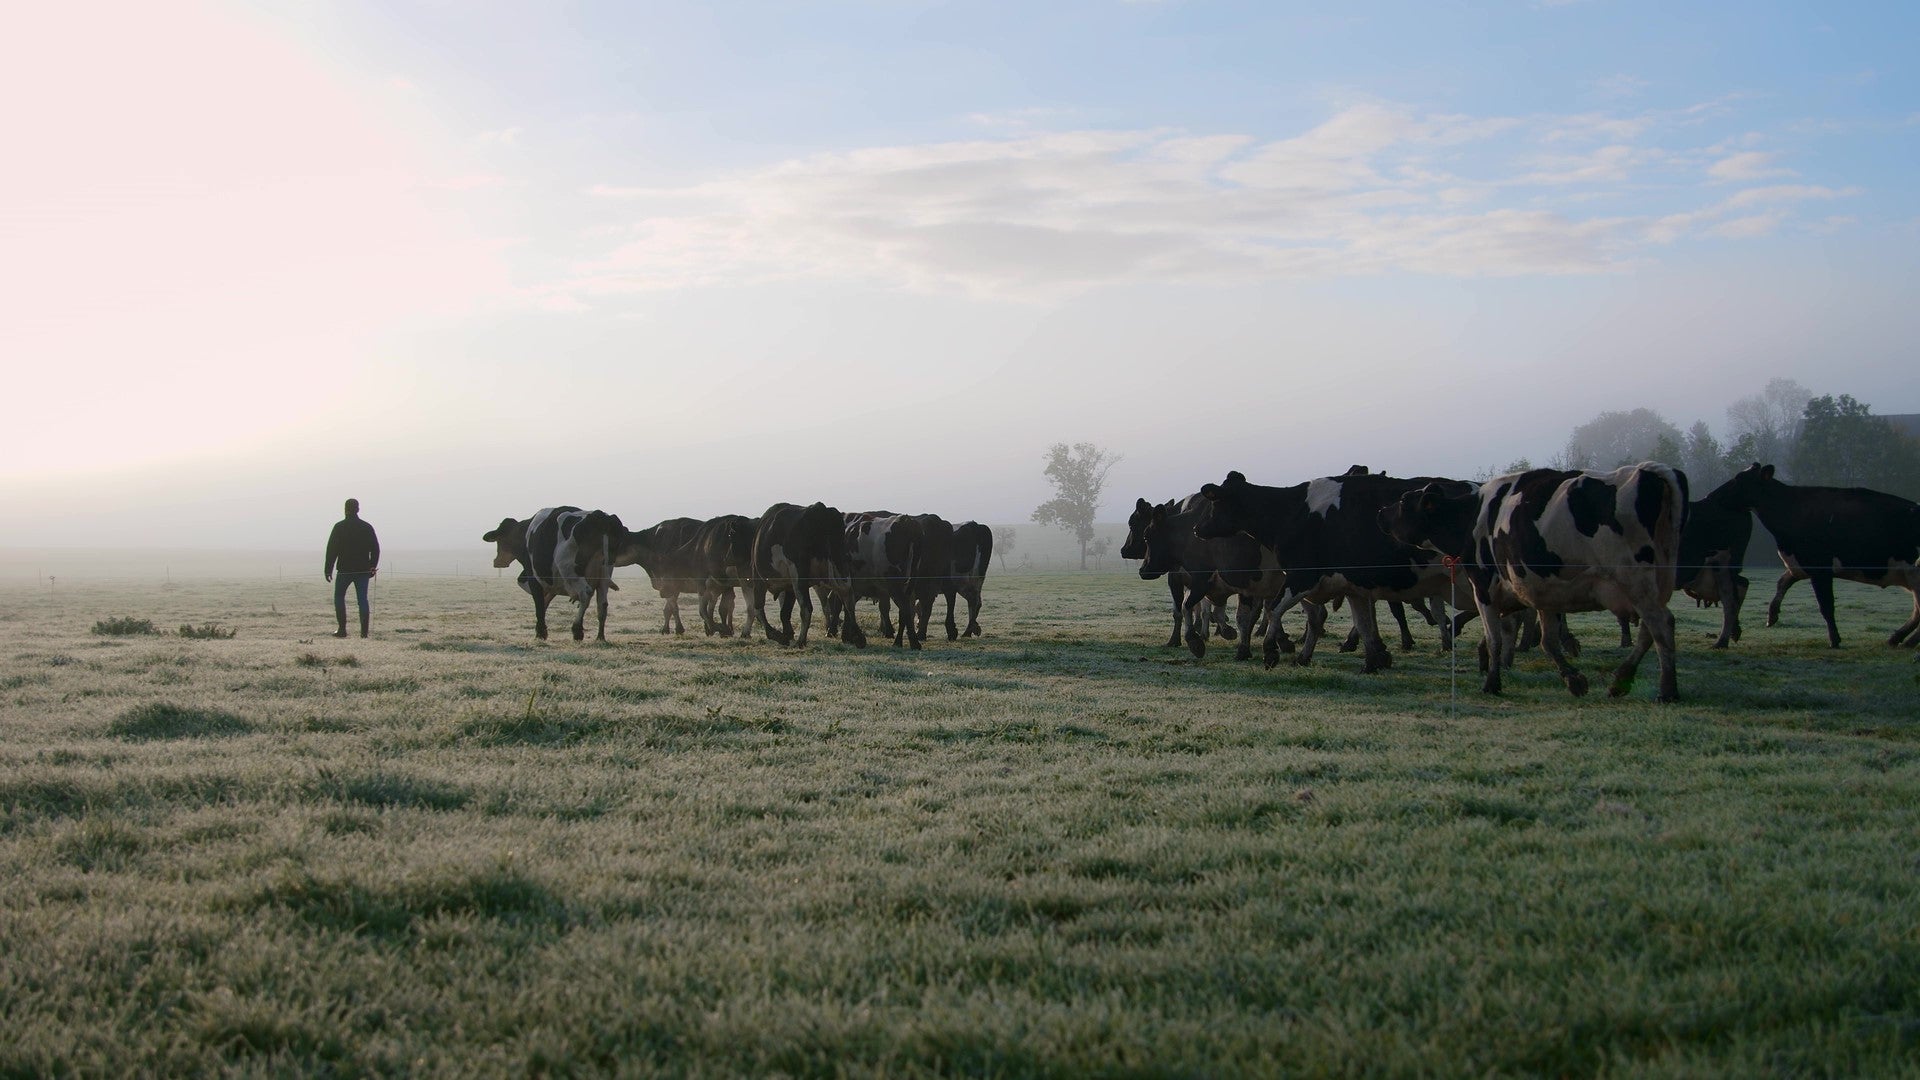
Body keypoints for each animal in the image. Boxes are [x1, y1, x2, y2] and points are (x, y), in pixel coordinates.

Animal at [752, 499, 867, 641]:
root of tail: (819, 509)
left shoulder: (759, 578)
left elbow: (758, 609)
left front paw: (776, 635)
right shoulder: (790, 585)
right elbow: (784, 612)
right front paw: (787, 633)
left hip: (799, 572)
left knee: (806, 607)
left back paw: (801, 640)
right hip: (839, 562)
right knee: (848, 597)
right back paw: (858, 637)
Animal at [1382, 461, 1681, 699]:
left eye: (1404, 502)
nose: (1380, 513)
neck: (1472, 517)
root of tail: (1650, 471)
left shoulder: (1484, 588)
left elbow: (1494, 638)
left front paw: (1492, 683)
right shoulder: (1543, 592)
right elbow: (1547, 640)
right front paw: (1573, 679)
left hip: (1635, 581)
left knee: (1661, 625)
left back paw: (1666, 690)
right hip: (1655, 583)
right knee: (1650, 631)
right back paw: (1622, 680)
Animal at [1728, 463, 1920, 645]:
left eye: (1739, 479)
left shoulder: (1819, 568)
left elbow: (1826, 605)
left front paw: (1834, 639)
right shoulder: (1799, 565)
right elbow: (1782, 582)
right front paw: (1772, 616)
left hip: (1914, 575)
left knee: (1918, 610)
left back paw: (1905, 641)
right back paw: (1897, 638)